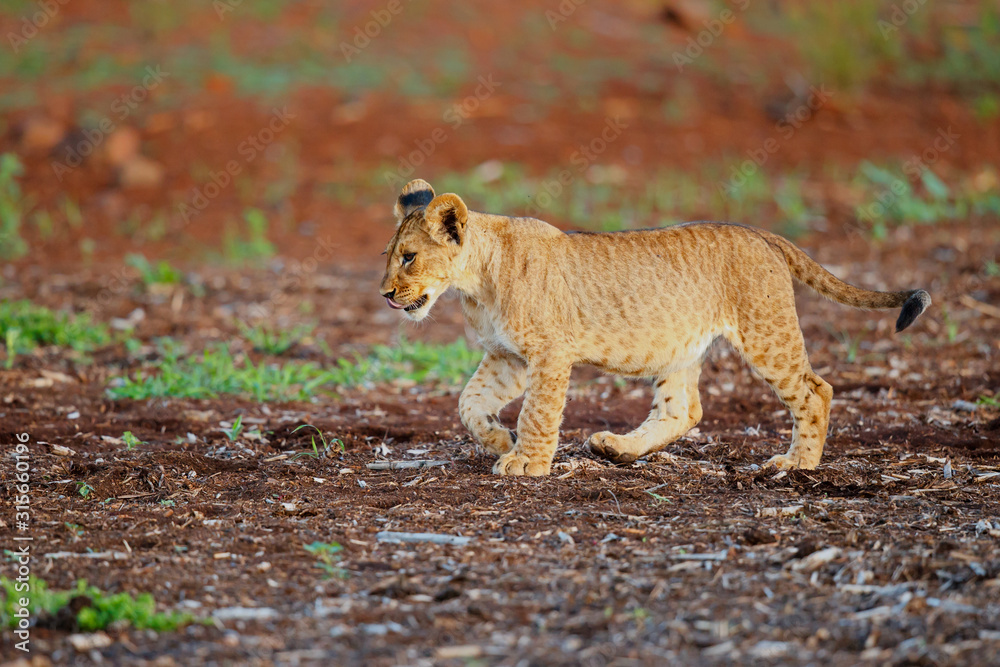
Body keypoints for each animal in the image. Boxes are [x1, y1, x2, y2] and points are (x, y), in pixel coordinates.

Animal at [379, 179, 930, 476]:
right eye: (389, 256)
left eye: (408, 258)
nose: (385, 295)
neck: (475, 283)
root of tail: (759, 232)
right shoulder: (508, 356)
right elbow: (468, 403)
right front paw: (497, 441)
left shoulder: (549, 353)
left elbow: (538, 413)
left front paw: (526, 461)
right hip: (678, 347)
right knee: (683, 410)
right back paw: (617, 448)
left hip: (766, 332)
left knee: (816, 390)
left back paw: (798, 464)